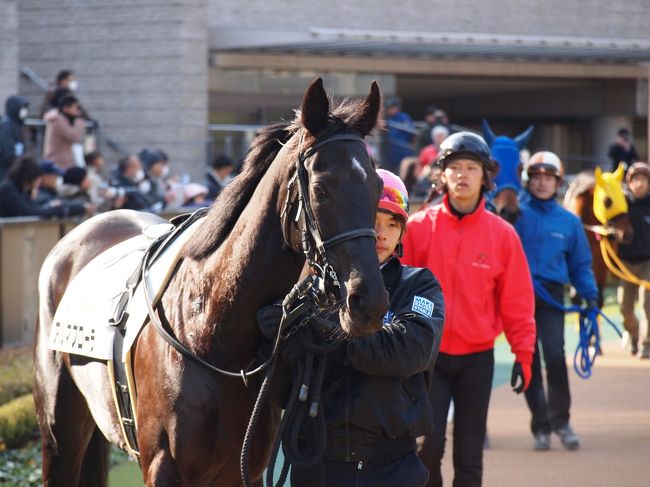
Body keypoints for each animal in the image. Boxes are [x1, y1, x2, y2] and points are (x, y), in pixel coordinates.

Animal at [33, 78, 388, 486]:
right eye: (321, 189)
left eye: (377, 188)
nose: (369, 302)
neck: (213, 332)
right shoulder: (162, 467)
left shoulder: (241, 470)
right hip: (59, 433)